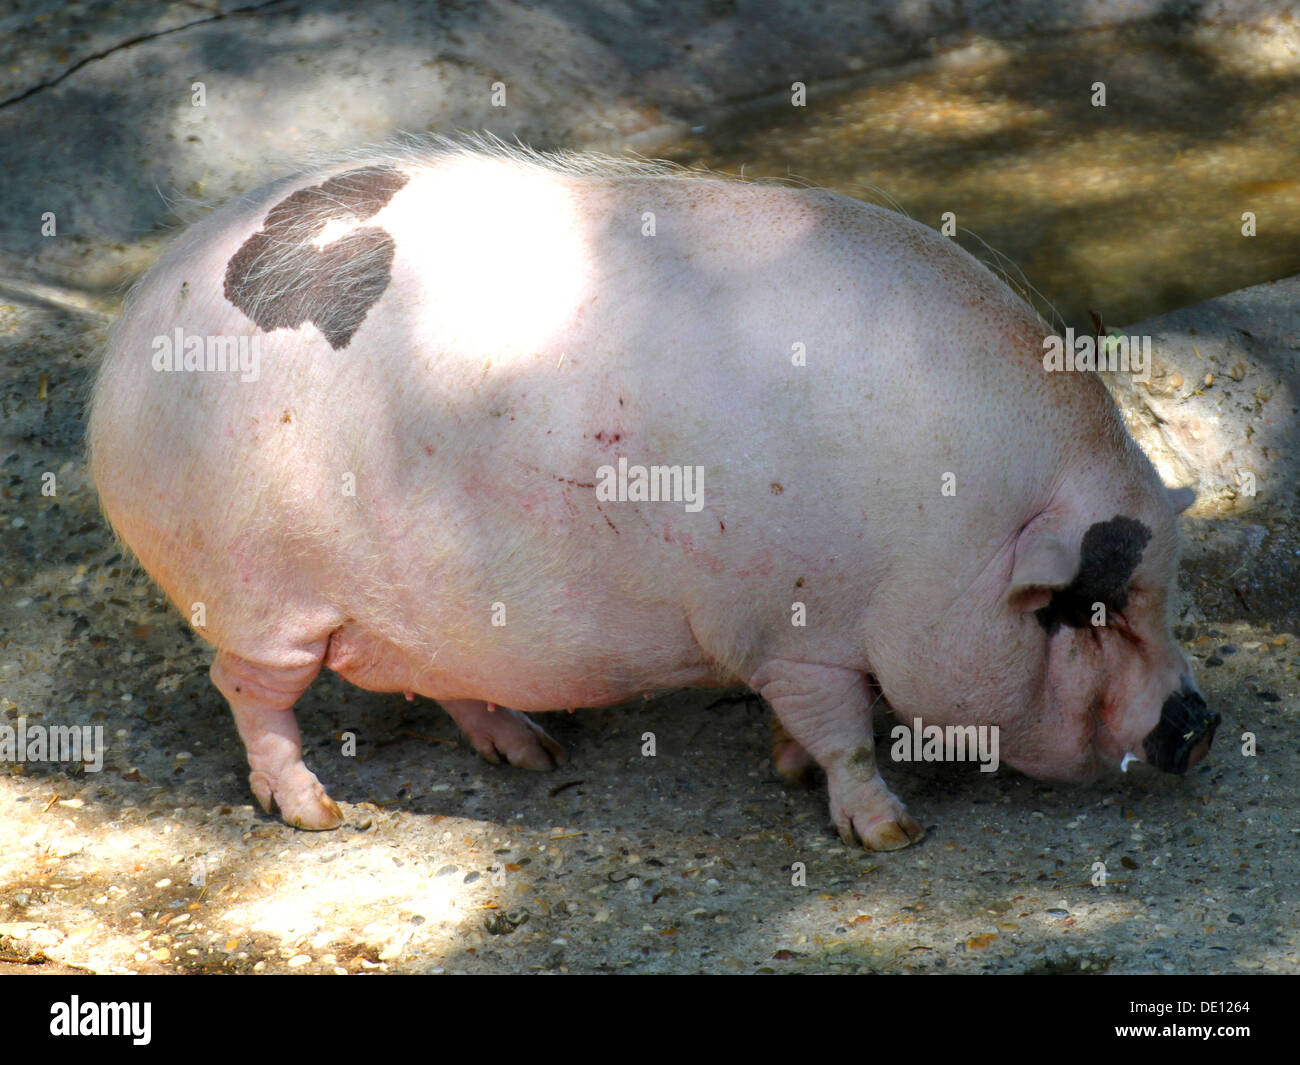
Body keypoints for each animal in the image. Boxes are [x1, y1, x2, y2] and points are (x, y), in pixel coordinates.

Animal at [89, 135, 1216, 847]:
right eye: (1087, 610)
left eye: (1158, 596)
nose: (1200, 724)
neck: (953, 534)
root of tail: (125, 350)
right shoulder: (793, 629)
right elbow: (845, 733)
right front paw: (891, 832)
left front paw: (786, 772)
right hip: (260, 597)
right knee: (247, 690)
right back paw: (317, 813)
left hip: (414, 600)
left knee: (442, 676)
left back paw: (532, 753)